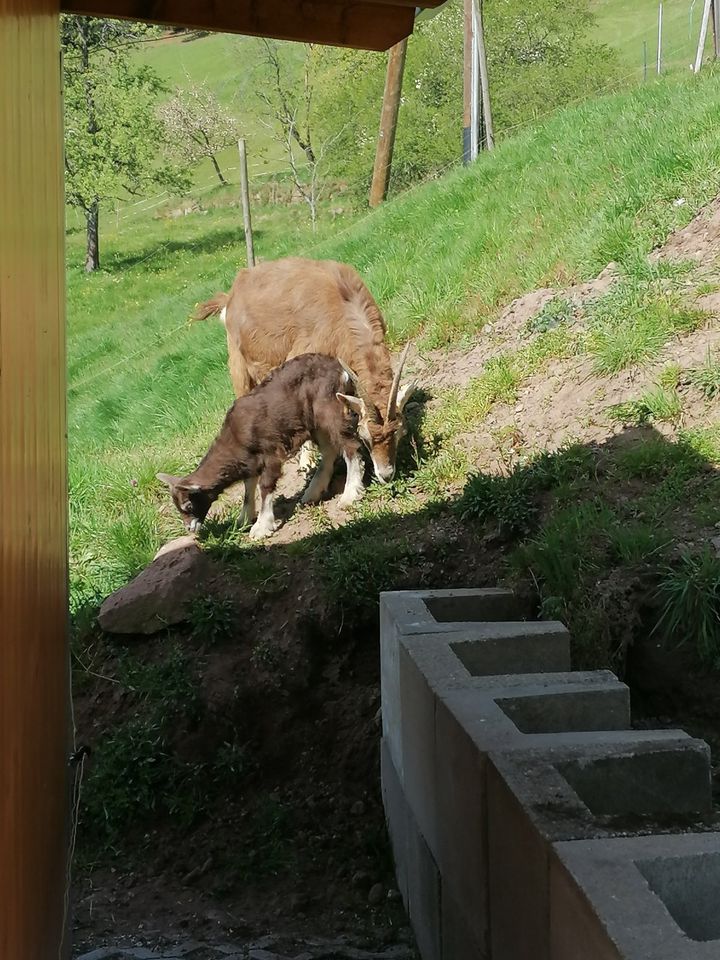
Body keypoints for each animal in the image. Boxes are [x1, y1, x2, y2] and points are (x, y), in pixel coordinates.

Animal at [155, 356, 362, 544]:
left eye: (189, 505)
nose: (190, 528)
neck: (235, 436)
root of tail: (339, 368)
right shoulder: (250, 461)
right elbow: (248, 489)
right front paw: (244, 519)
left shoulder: (271, 453)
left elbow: (265, 486)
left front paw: (262, 526)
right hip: (315, 421)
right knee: (330, 449)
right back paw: (313, 492)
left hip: (329, 407)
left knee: (350, 446)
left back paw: (350, 494)